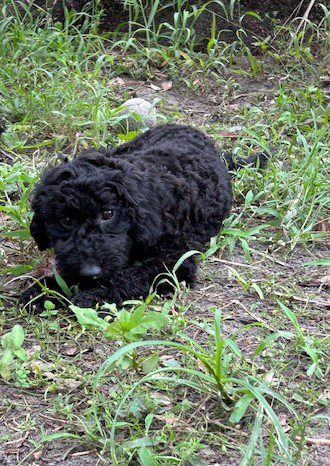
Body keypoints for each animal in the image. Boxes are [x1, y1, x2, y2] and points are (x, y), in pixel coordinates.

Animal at [22, 123, 266, 310]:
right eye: (66, 220)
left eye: (108, 214)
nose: (90, 272)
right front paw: (44, 290)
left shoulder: (175, 262)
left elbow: (131, 276)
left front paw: (92, 295)